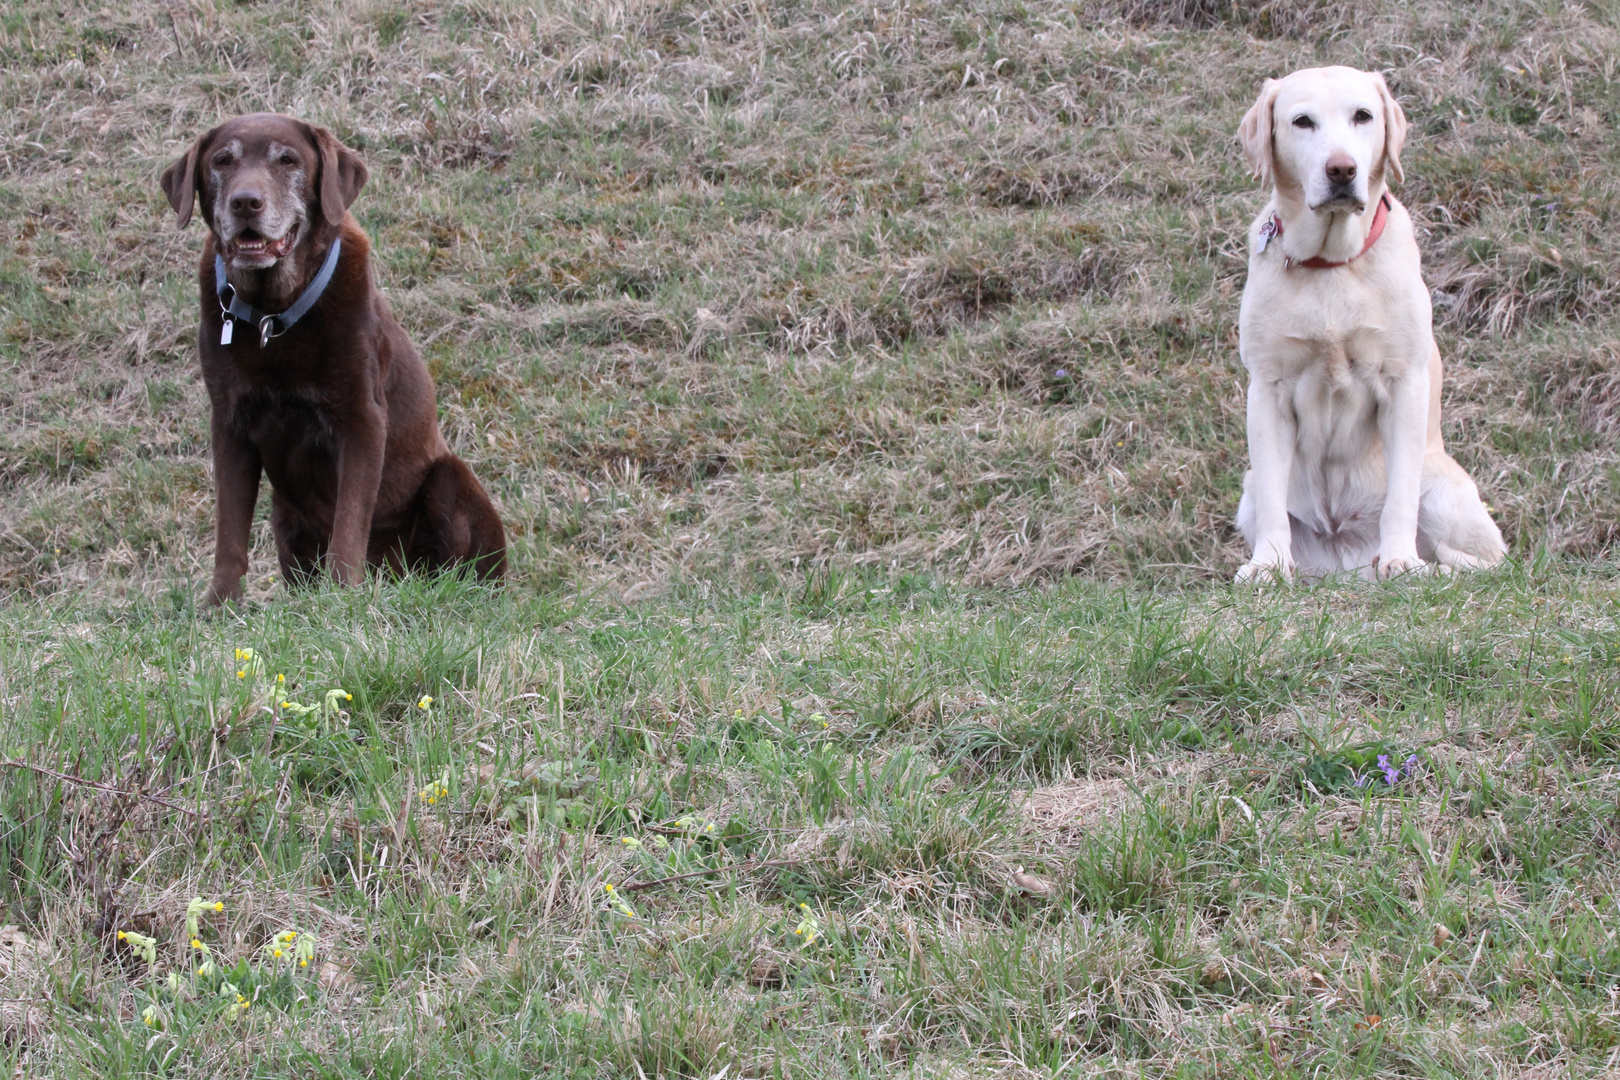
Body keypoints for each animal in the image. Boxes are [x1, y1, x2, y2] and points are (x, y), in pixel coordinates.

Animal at [158, 118, 502, 608]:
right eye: (223, 161)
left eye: (288, 160)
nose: (246, 201)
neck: (273, 316)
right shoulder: (229, 423)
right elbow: (230, 529)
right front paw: (219, 604)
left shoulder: (361, 418)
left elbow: (350, 520)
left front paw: (341, 595)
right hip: (284, 515)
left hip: (448, 478)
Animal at [1237, 67, 1503, 582]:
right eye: (1302, 121)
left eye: (1363, 116)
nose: (1341, 169)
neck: (1332, 263)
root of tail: (1348, 559)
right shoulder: (1268, 390)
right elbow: (1275, 501)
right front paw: (1268, 565)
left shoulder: (1403, 384)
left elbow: (1400, 495)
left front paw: (1400, 559)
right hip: (1248, 491)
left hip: (1444, 491)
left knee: (1488, 562)